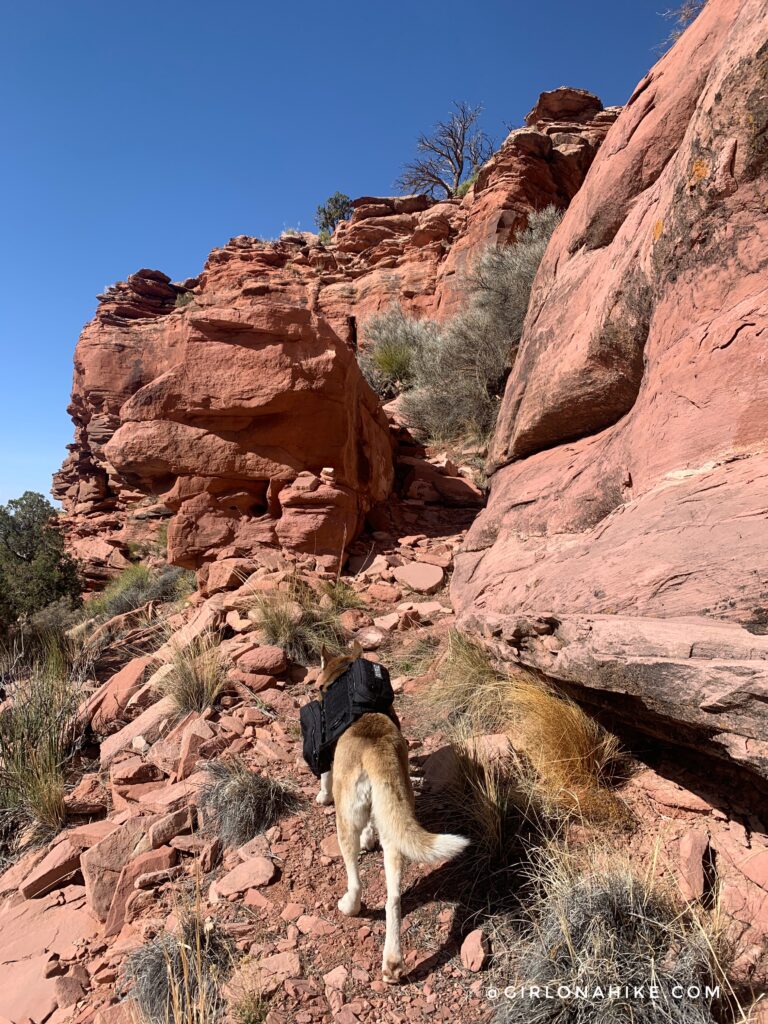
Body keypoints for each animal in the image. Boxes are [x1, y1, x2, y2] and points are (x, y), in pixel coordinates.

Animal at [313, 647, 468, 983]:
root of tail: (376, 752)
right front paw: (369, 837)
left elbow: (324, 778)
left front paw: (321, 796)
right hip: (395, 832)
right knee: (393, 899)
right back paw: (392, 962)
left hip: (345, 823)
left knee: (356, 879)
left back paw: (350, 906)